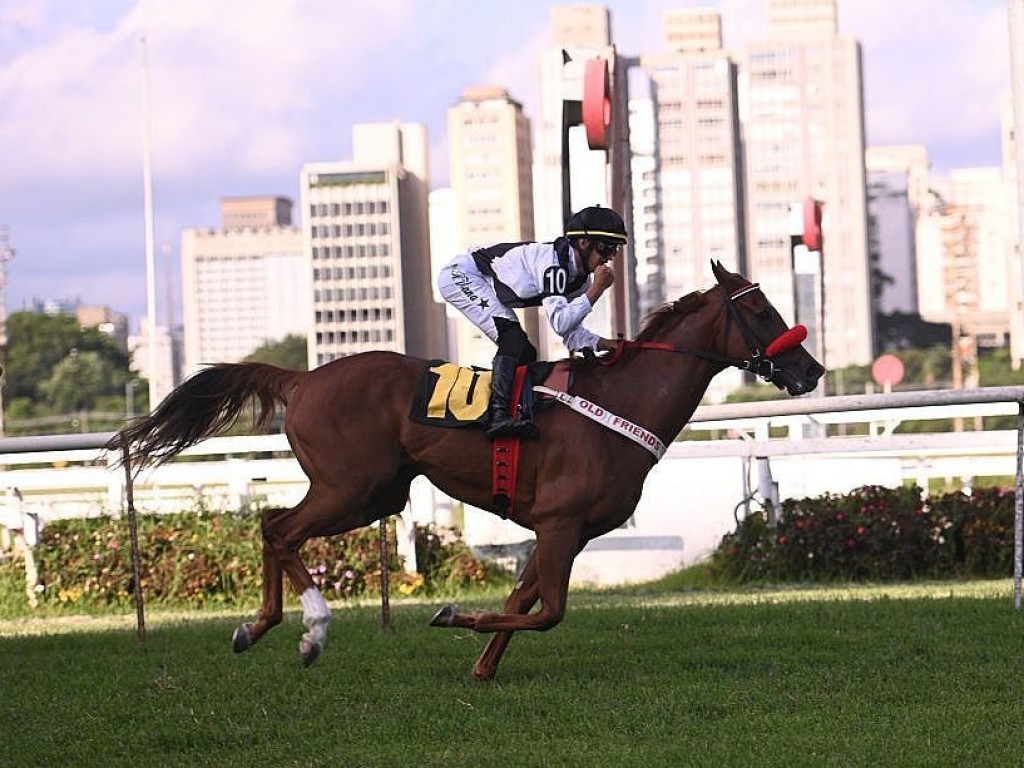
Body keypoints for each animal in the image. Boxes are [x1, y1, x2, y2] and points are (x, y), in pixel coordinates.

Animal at [108, 264, 823, 679]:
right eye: (759, 310)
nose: (811, 370)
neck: (621, 401)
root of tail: (304, 377)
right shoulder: (560, 523)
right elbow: (547, 611)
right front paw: (455, 619)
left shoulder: (566, 531)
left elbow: (521, 600)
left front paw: (482, 666)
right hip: (350, 487)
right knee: (279, 529)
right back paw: (310, 631)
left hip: (374, 495)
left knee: (271, 525)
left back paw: (255, 627)